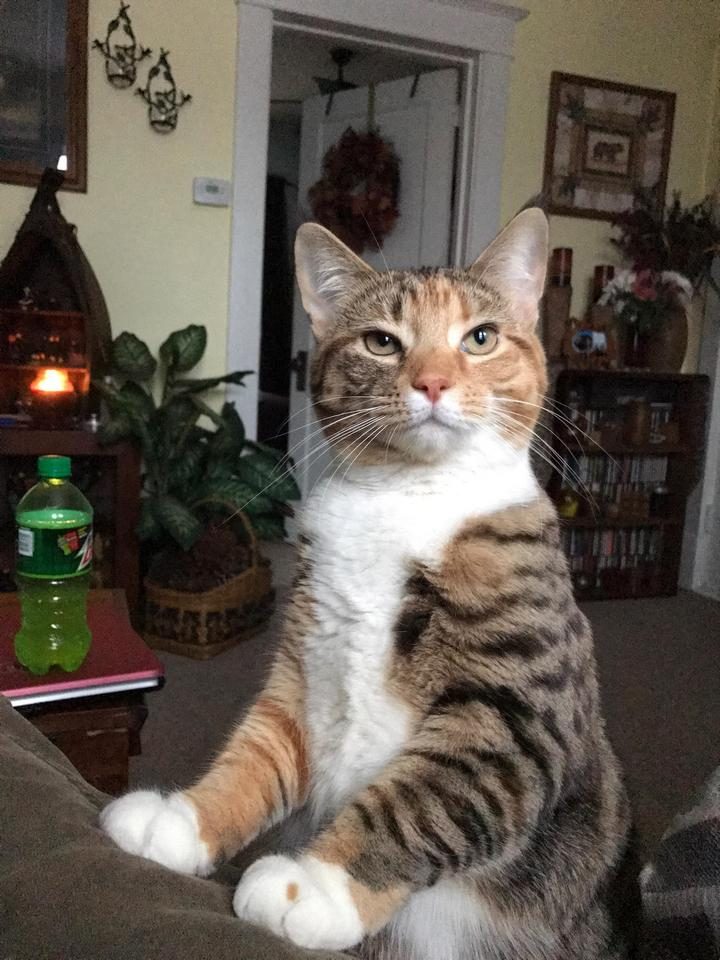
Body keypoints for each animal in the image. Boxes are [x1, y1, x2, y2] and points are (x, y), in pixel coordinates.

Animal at [101, 208, 637, 960]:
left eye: (480, 337)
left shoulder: (514, 706)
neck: (403, 495)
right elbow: (259, 749)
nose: (433, 382)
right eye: (383, 342)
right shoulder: (306, 662)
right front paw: (183, 821)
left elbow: (421, 799)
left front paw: (314, 888)